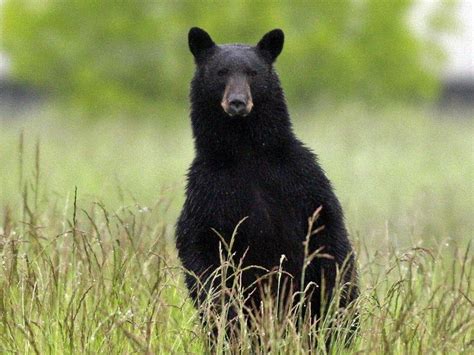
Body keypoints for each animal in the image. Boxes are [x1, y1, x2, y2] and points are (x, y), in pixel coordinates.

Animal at [176, 27, 358, 340]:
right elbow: (199, 247)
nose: (237, 102)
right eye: (221, 72)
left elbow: (329, 234)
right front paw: (224, 307)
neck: (246, 151)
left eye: (253, 73)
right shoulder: (208, 191)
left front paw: (334, 301)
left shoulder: (302, 179)